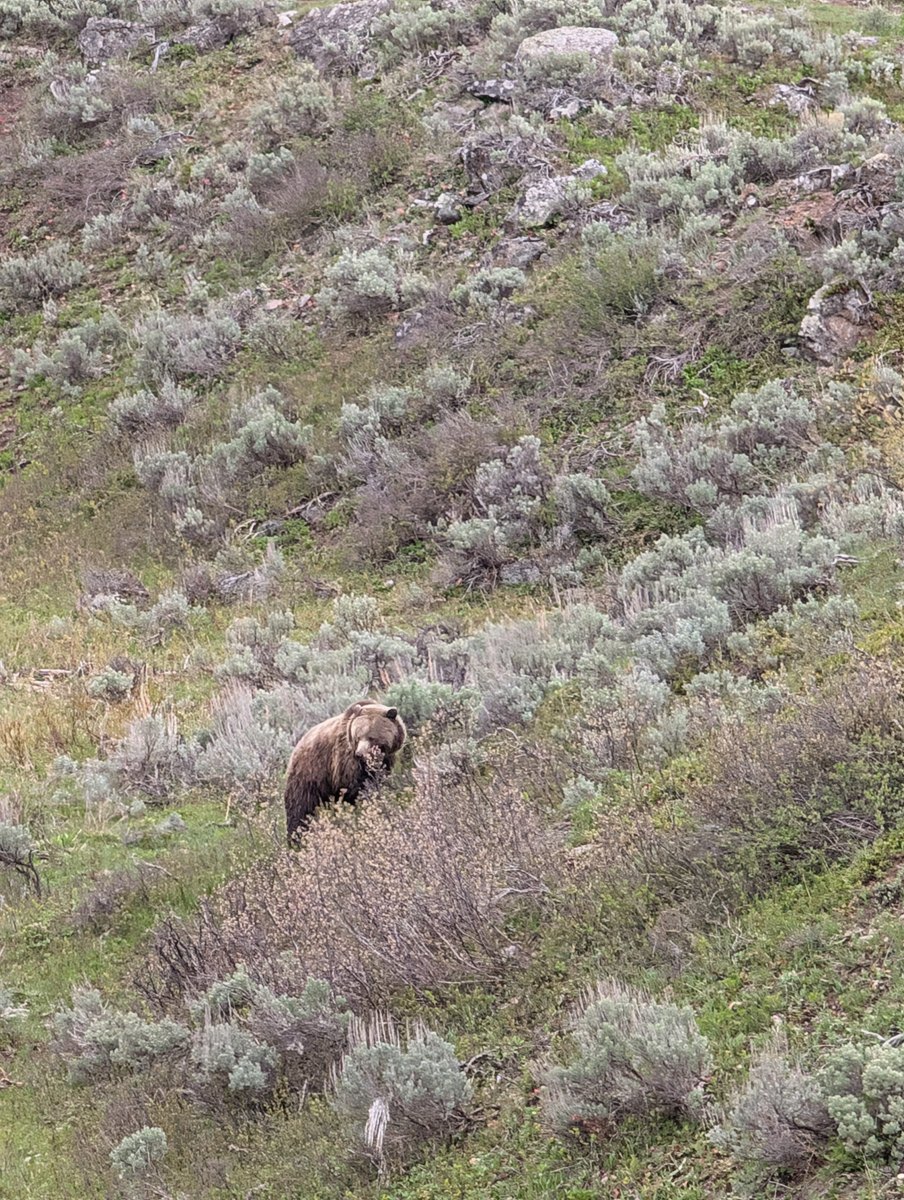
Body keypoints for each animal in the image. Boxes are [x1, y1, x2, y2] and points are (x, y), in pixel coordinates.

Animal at [284, 700, 407, 843]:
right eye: (358, 737)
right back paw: (296, 838)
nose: (359, 753)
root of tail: (297, 746)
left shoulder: (386, 761)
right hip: (308, 774)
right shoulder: (343, 761)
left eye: (371, 737)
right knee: (299, 808)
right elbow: (355, 786)